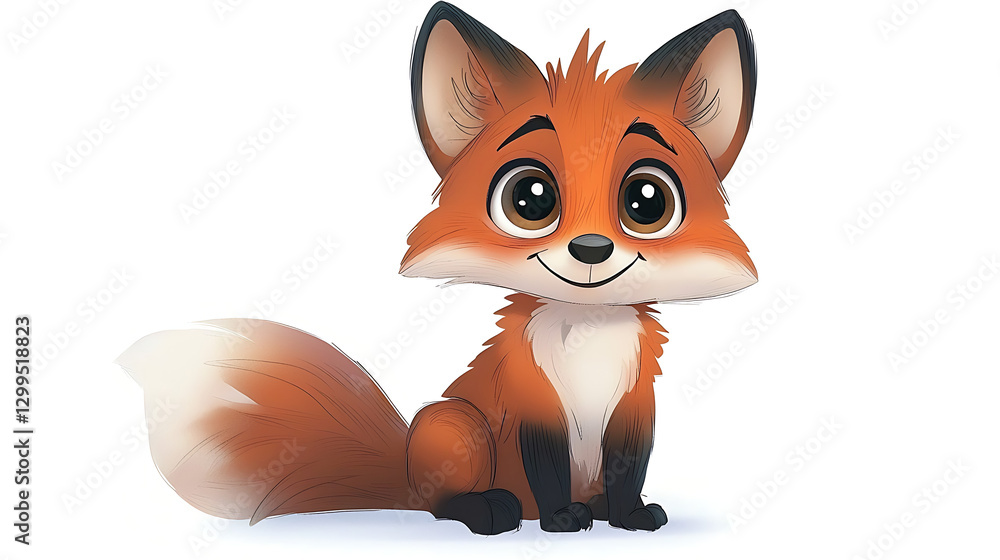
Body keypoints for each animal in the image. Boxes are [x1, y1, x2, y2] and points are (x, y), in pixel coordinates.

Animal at [117, 2, 757, 535]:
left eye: (647, 201)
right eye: (530, 199)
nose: (592, 248)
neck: (587, 343)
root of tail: (403, 472)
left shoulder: (634, 406)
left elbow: (630, 471)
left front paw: (627, 516)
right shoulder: (533, 405)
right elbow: (547, 470)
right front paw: (561, 521)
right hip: (454, 426)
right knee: (440, 504)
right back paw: (491, 509)